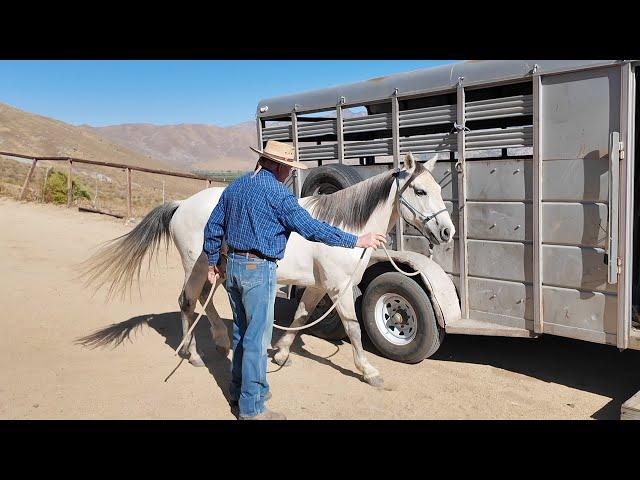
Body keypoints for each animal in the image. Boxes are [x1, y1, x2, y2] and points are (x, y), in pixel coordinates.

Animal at [82, 154, 456, 386]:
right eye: (419, 190)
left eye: (439, 189)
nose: (447, 232)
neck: (346, 227)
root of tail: (181, 205)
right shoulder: (339, 287)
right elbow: (353, 328)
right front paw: (368, 371)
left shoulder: (319, 285)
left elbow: (301, 316)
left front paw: (282, 355)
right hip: (195, 264)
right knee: (188, 301)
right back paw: (192, 355)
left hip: (215, 267)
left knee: (205, 300)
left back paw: (221, 342)